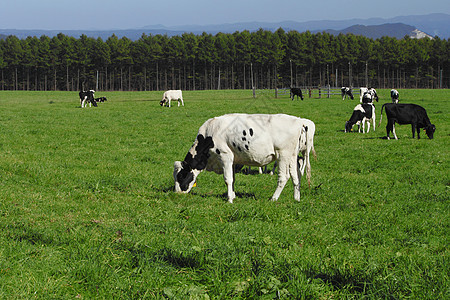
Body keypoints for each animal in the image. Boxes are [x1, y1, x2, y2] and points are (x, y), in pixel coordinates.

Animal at [172, 113, 316, 203]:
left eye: (181, 176)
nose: (177, 194)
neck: (209, 135)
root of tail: (300, 121)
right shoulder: (233, 160)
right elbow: (233, 179)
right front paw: (233, 195)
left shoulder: (225, 156)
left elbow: (228, 179)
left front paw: (230, 199)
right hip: (292, 156)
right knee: (296, 176)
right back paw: (296, 198)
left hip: (283, 155)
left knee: (284, 177)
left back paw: (273, 199)